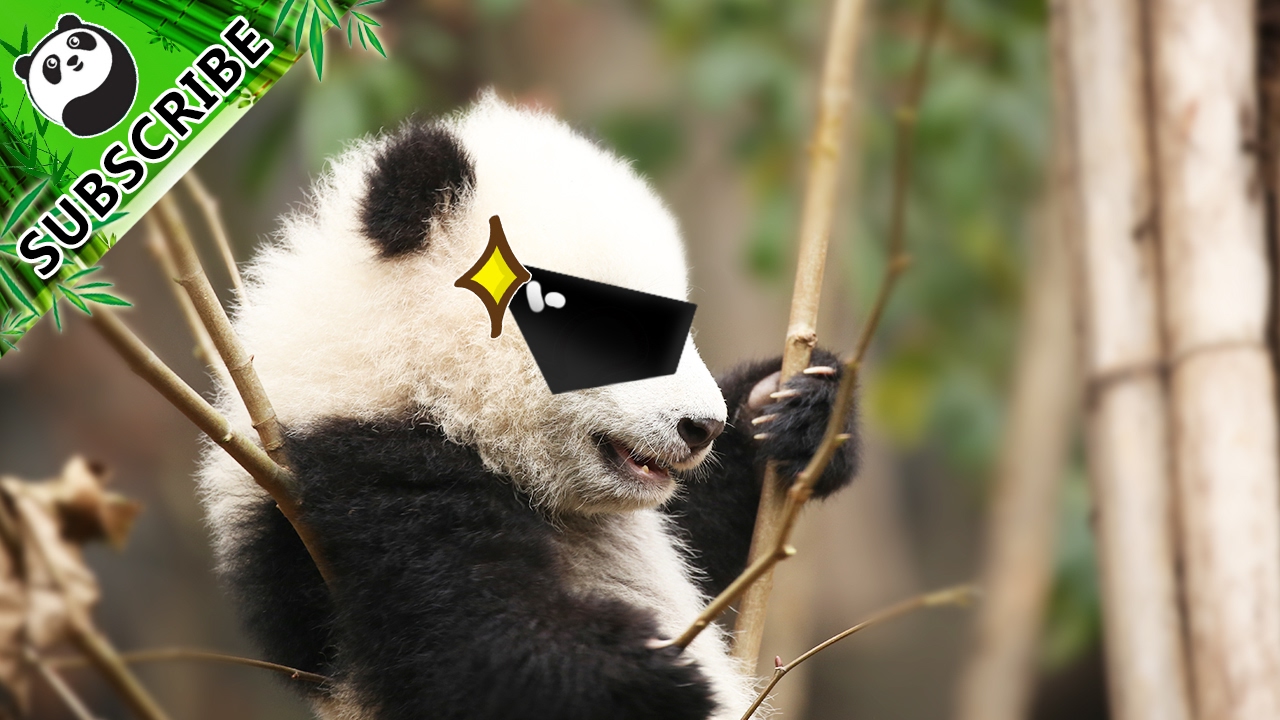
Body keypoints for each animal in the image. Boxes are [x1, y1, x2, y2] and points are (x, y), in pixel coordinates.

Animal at [198, 94, 859, 720]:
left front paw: (795, 409)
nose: (704, 427)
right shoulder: (354, 472)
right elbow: (467, 632)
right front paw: (637, 671)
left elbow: (703, 541)